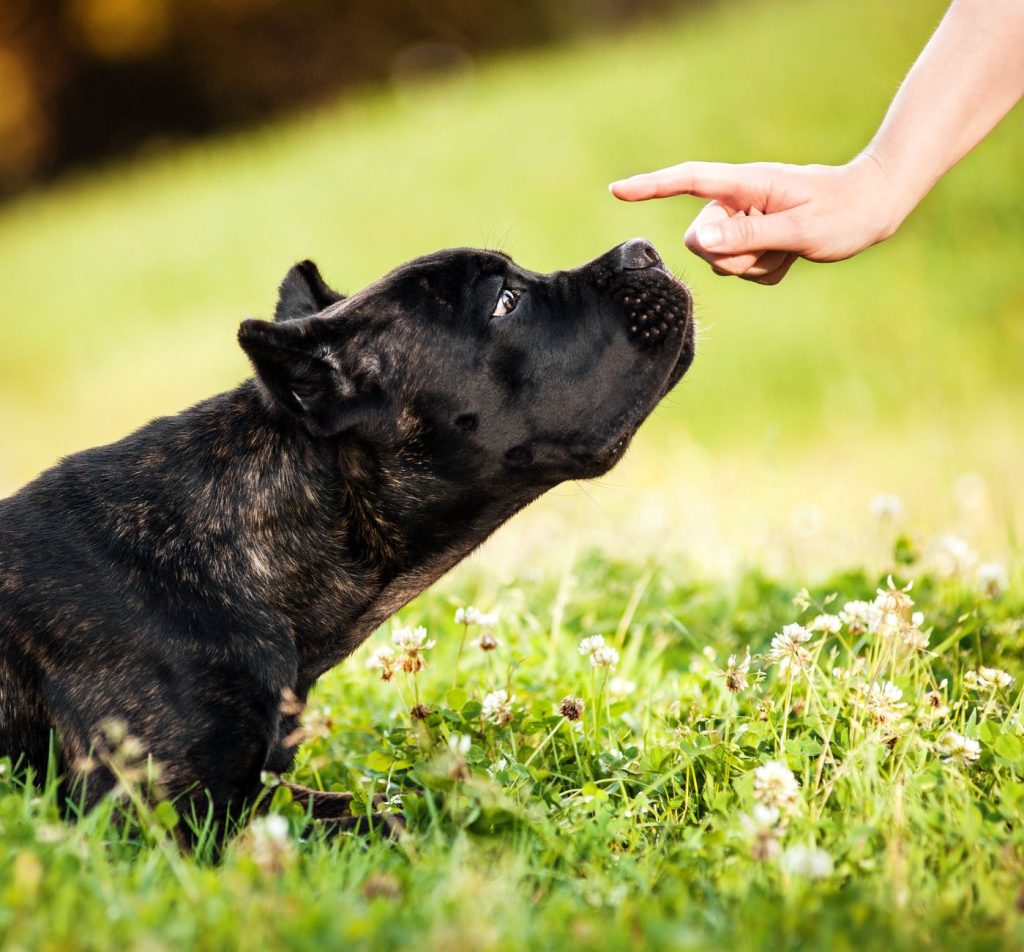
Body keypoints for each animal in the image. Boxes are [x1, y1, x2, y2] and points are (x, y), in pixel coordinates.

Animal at [0, 235, 692, 831]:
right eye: (504, 301)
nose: (642, 250)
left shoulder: (269, 795)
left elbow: (372, 807)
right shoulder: (164, 826)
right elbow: (376, 823)